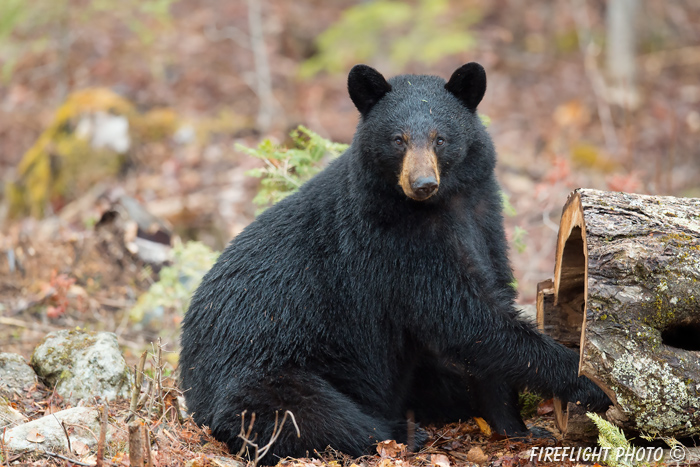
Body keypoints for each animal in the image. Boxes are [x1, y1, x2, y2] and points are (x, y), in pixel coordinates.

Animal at [179, 62, 608, 464]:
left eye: (440, 138)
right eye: (397, 139)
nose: (422, 184)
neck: (442, 207)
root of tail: (189, 380)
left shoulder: (483, 218)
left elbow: (489, 307)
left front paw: (516, 427)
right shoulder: (396, 246)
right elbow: (466, 317)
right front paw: (587, 382)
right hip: (265, 370)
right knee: (309, 414)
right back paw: (402, 433)